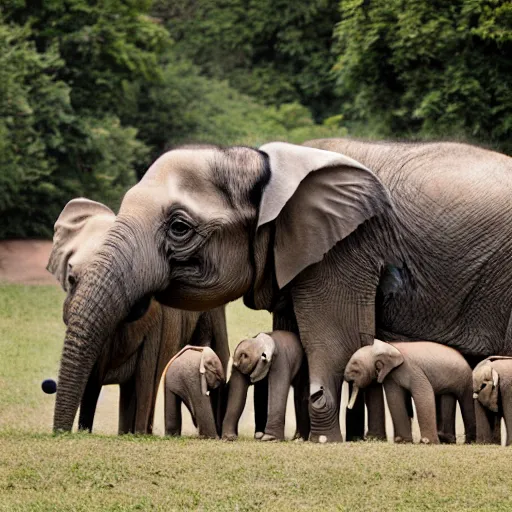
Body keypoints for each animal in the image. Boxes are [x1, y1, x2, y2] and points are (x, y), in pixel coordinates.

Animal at [46, 198, 228, 434]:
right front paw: (86, 431)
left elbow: (147, 375)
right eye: (71, 279)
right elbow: (91, 380)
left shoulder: (161, 320)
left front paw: (140, 434)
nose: (60, 433)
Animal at [344, 340, 476, 444]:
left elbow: (424, 394)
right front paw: (402, 441)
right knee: (447, 398)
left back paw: (469, 442)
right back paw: (447, 440)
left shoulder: (413, 369)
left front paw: (428, 442)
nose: (347, 407)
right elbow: (394, 398)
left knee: (467, 402)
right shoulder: (391, 375)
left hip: (466, 377)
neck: (390, 346)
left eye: (355, 368)